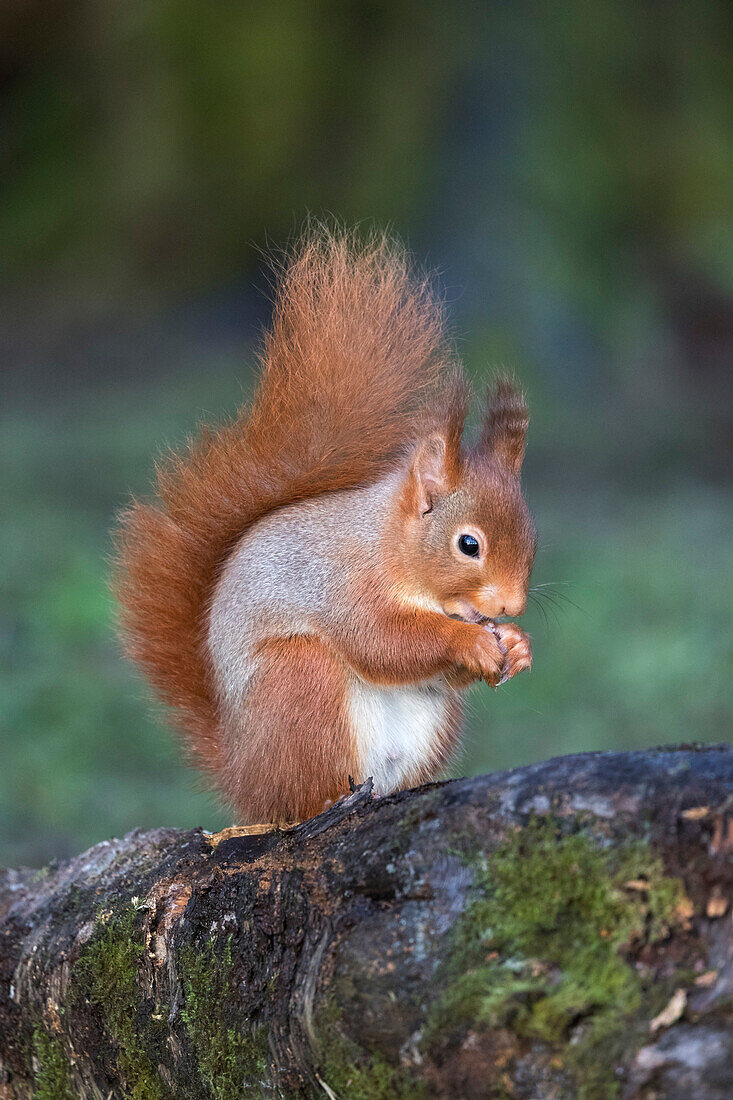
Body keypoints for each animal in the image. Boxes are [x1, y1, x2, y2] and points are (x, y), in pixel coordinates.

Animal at [115, 227, 537, 822]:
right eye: (468, 544)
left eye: (534, 537)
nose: (511, 607)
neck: (390, 546)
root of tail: (245, 777)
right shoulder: (342, 584)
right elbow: (383, 641)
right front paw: (471, 642)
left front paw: (517, 646)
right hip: (299, 682)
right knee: (304, 793)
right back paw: (332, 800)